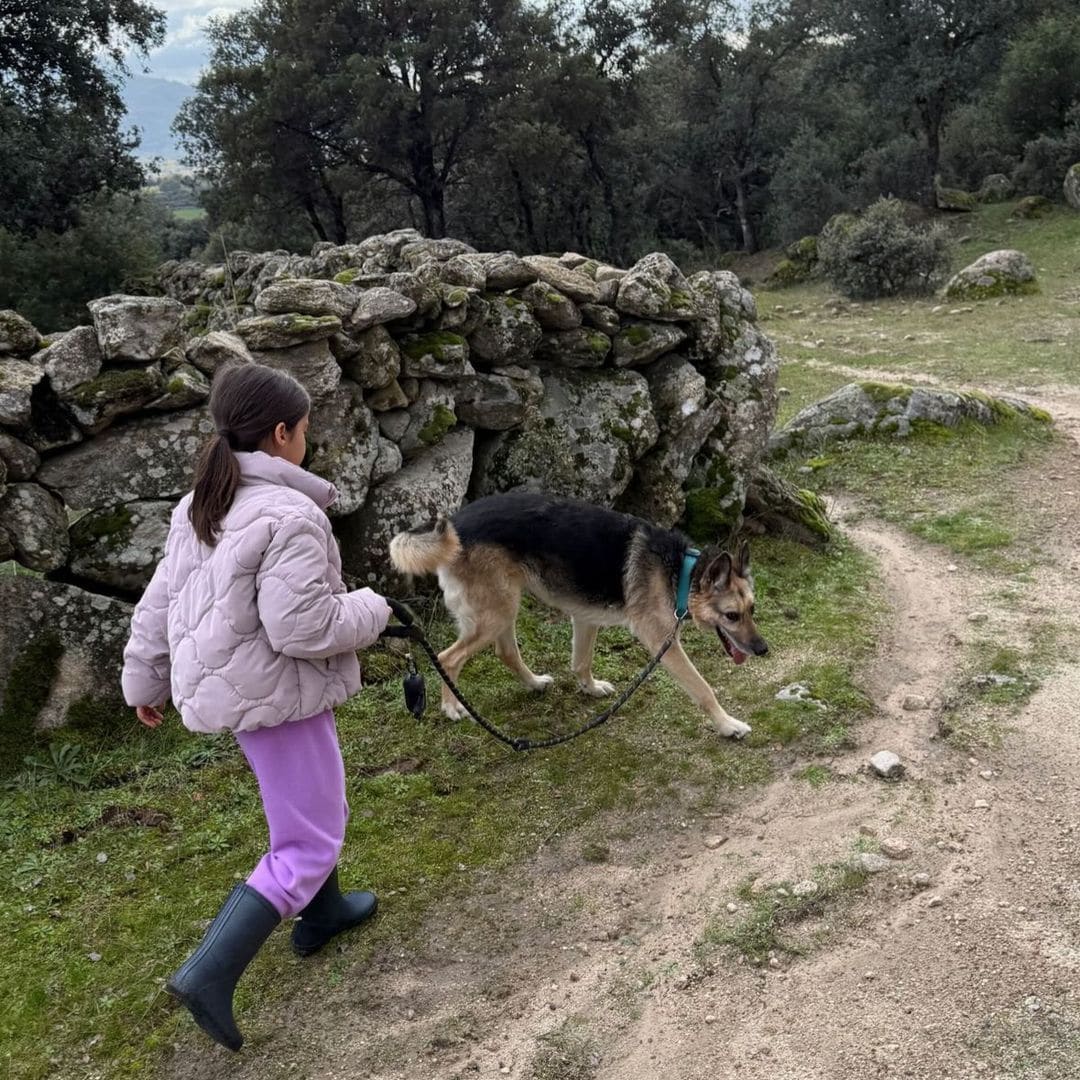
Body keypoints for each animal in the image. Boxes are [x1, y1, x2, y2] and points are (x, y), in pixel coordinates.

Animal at [388, 494, 768, 738]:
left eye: (752, 610)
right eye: (731, 616)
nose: (763, 650)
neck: (681, 570)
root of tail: (456, 524)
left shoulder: (586, 619)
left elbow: (581, 661)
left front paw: (590, 687)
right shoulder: (664, 642)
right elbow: (703, 689)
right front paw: (728, 726)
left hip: (502, 608)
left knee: (505, 652)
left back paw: (534, 683)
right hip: (495, 613)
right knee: (447, 658)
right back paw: (452, 706)